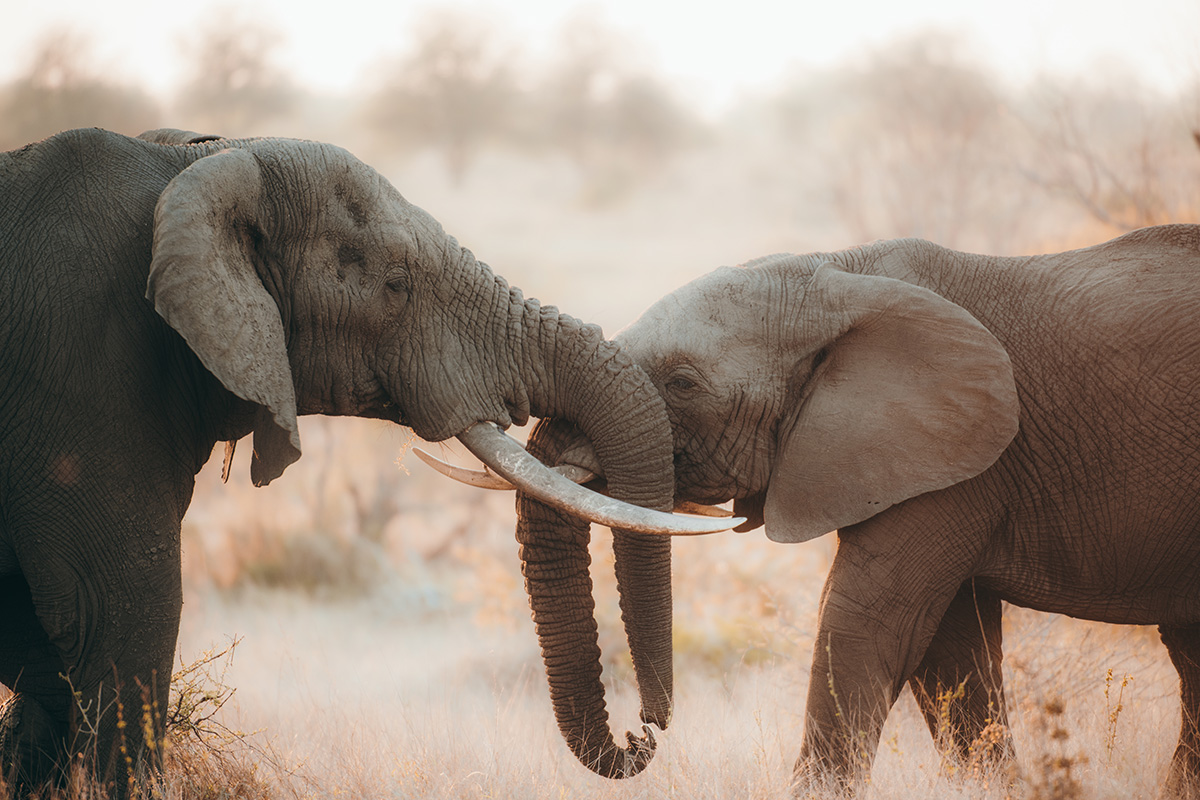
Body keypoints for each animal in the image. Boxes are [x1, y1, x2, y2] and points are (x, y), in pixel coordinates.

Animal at [498, 225, 1200, 793]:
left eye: (682, 383)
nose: (643, 732)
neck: (836, 275)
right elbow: (950, 652)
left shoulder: (956, 455)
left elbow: (868, 626)